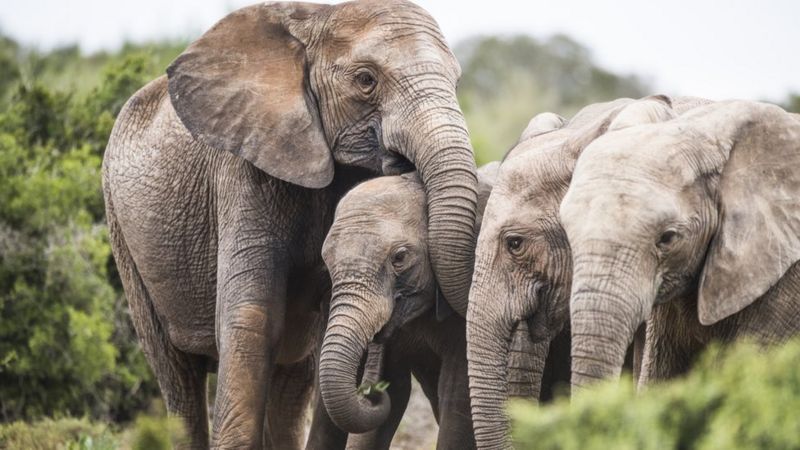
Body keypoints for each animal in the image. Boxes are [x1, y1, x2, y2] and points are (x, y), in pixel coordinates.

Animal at [99, 1, 476, 448]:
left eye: (456, 82)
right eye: (366, 80)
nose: (376, 392)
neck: (315, 21)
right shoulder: (244, 170)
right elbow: (252, 319)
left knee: (290, 383)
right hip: (123, 234)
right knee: (177, 376)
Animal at [318, 163, 500, 448]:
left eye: (400, 257)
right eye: (326, 261)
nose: (369, 392)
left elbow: (458, 400)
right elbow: (395, 393)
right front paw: (384, 389)